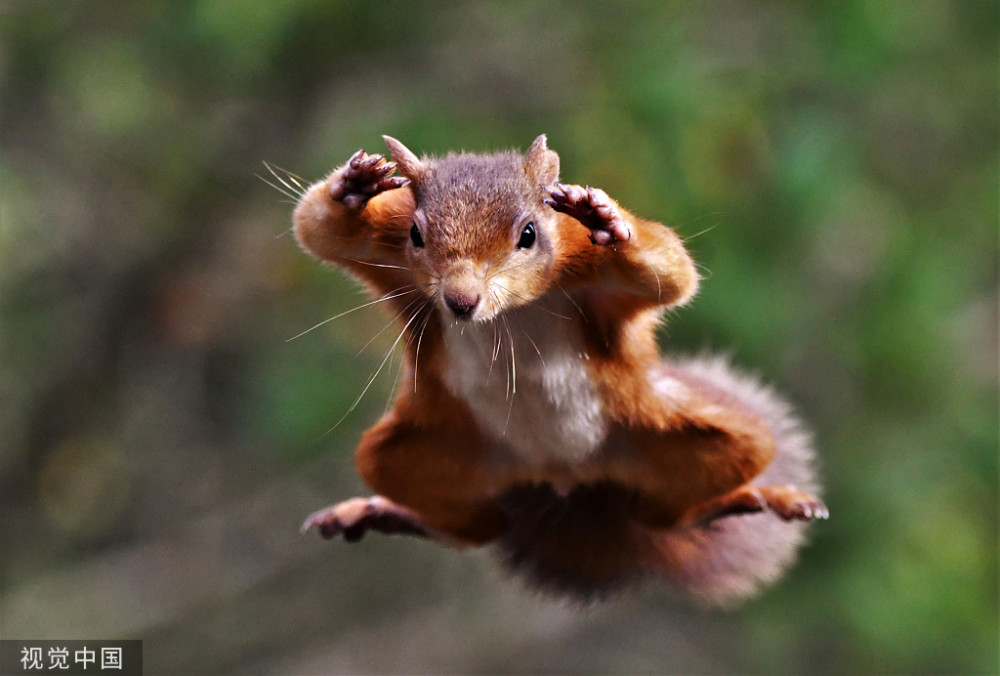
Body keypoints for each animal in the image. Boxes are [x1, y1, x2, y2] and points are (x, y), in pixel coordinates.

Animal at [292, 135, 828, 604]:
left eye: (529, 234)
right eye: (416, 235)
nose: (461, 301)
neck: (505, 313)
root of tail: (564, 477)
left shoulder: (588, 265)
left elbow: (670, 271)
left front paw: (609, 220)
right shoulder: (384, 242)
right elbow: (316, 228)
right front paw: (351, 188)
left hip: (686, 439)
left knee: (667, 517)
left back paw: (752, 499)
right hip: (418, 455)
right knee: (479, 529)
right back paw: (385, 512)